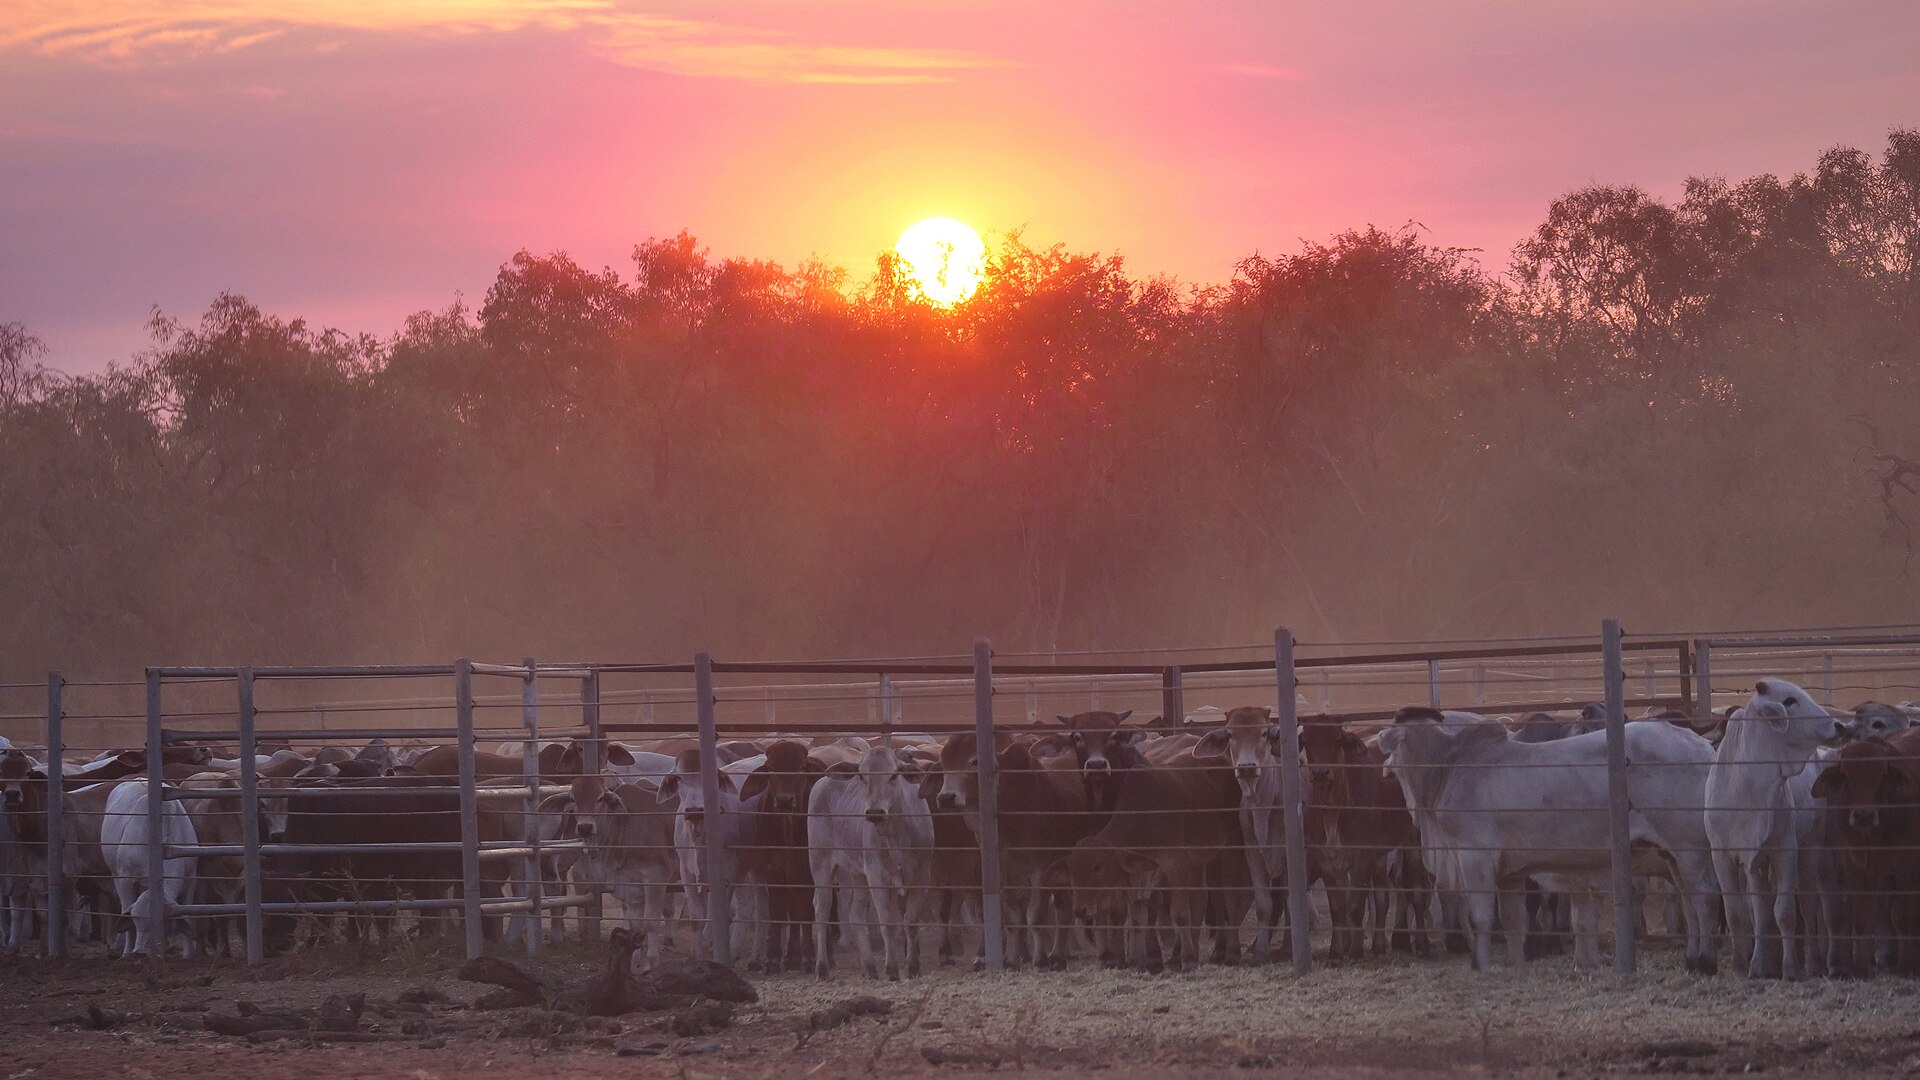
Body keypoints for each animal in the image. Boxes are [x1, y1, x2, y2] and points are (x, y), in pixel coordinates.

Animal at [1379, 707, 1720, 973]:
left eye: (1394, 745)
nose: (1383, 767)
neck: (1446, 768)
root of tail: (1702, 745)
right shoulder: (1510, 874)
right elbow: (1513, 920)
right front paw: (1515, 962)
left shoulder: (1475, 857)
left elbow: (1480, 918)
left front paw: (1480, 964)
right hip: (1670, 854)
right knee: (1689, 901)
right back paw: (1691, 958)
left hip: (1689, 848)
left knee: (1704, 897)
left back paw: (1706, 961)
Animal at [1705, 679, 1849, 979]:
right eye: (1789, 700)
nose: (1840, 726)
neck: (1748, 787)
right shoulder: (1722, 856)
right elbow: (1739, 913)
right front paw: (1741, 966)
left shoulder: (1786, 851)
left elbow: (1784, 912)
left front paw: (1791, 968)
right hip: (1758, 864)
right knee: (1760, 908)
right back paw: (1761, 963)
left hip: (1811, 848)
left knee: (1807, 903)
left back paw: (1814, 962)